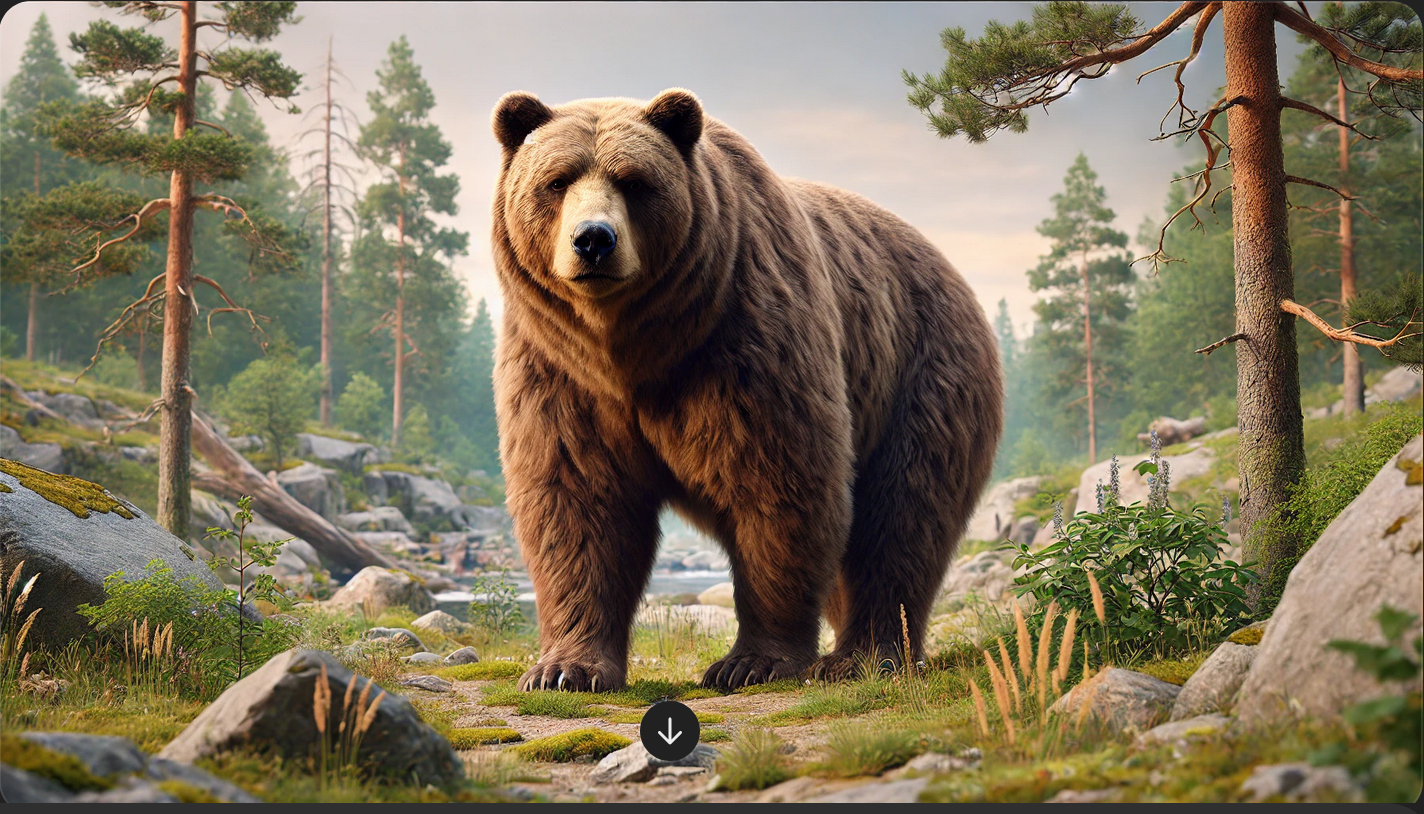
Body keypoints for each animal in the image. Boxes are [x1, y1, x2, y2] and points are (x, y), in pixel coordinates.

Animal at [489, 88, 1003, 692]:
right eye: (557, 180)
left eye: (635, 181)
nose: (594, 239)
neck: (629, 350)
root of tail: (950, 268)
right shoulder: (559, 374)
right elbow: (577, 502)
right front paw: (564, 669)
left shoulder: (745, 340)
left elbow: (779, 483)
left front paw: (751, 661)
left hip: (920, 376)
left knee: (901, 517)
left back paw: (862, 656)